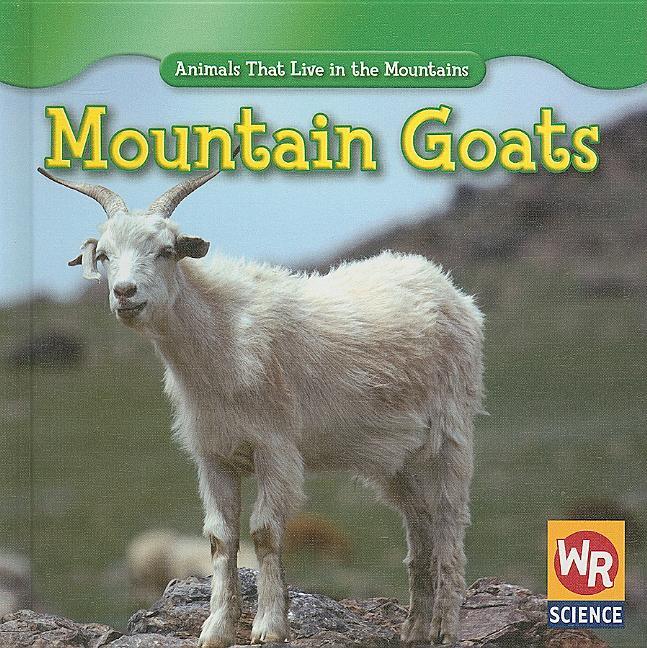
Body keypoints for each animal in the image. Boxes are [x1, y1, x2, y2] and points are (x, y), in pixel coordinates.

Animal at [38, 164, 484, 647]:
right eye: (103, 255)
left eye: (166, 251)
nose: (124, 292)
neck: (222, 338)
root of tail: (445, 284)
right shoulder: (212, 453)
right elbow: (220, 538)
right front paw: (216, 628)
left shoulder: (274, 447)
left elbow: (265, 532)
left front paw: (269, 625)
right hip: (396, 457)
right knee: (420, 523)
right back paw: (415, 629)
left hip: (450, 432)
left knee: (449, 521)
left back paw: (445, 626)